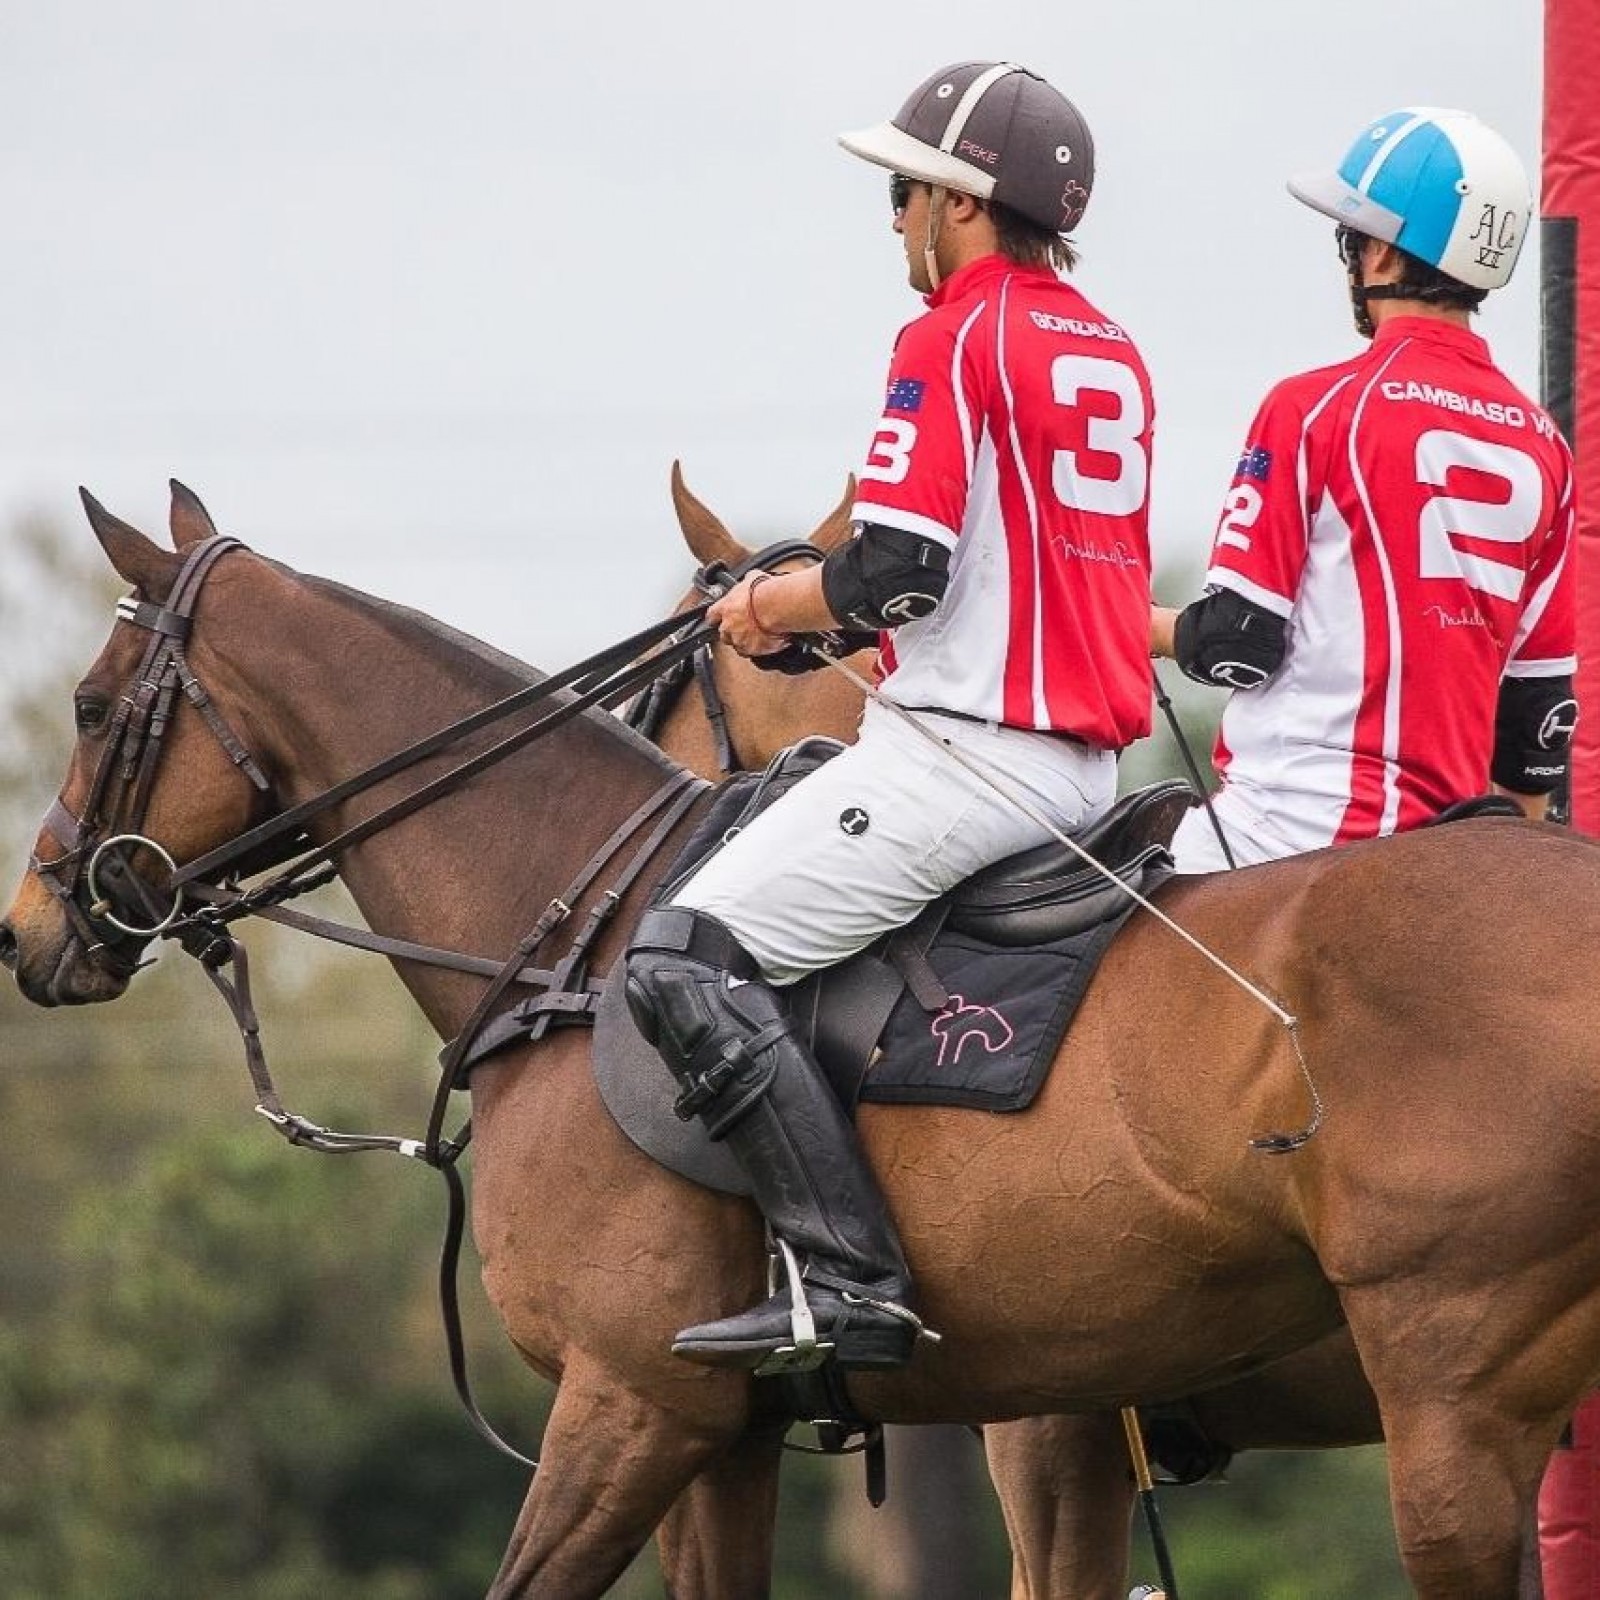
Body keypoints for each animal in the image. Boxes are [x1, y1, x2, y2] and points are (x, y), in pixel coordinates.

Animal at [3, 486, 1600, 1600]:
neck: (573, 939)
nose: (29, 933)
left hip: (1451, 1398)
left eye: (88, 704)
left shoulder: (634, 1403)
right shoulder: (737, 1434)